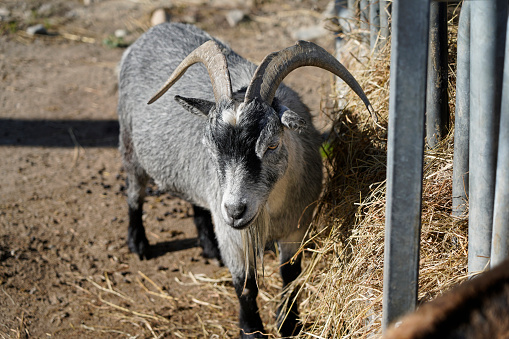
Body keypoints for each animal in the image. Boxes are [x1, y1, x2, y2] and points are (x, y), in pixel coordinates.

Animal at [118, 22, 374, 338]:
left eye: (272, 144)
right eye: (211, 145)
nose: (235, 210)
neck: (270, 210)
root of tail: (150, 33)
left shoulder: (297, 226)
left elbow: (291, 274)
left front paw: (288, 323)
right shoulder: (233, 235)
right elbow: (245, 284)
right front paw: (251, 330)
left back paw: (208, 246)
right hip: (130, 146)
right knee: (134, 194)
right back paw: (139, 243)